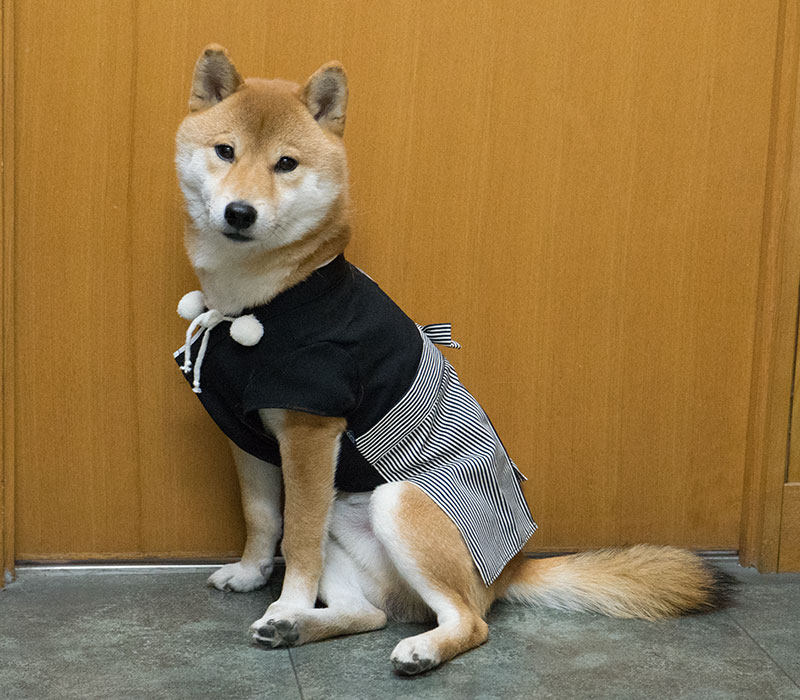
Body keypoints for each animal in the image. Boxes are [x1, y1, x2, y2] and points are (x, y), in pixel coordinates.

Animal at [173, 45, 732, 680]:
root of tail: (509, 571)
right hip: (347, 515)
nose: (239, 212)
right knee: (369, 614)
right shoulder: (248, 433)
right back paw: (298, 628)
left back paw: (412, 646)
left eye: (286, 164)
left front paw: (288, 598)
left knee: (469, 622)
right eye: (225, 151)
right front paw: (250, 575)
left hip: (399, 503)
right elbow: (263, 518)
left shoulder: (310, 436)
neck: (261, 305)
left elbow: (298, 540)